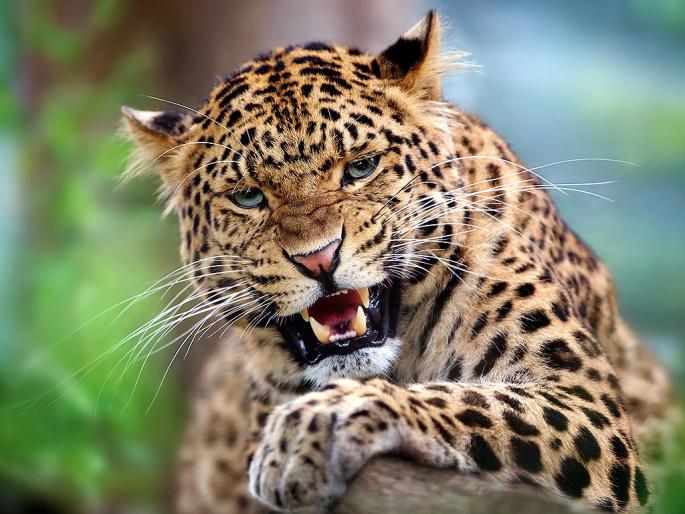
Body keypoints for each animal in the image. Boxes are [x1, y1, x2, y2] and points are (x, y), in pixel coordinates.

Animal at [122, 11, 675, 513]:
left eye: (360, 168)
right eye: (248, 197)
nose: (318, 259)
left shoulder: (586, 403)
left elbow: (471, 399)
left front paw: (319, 422)